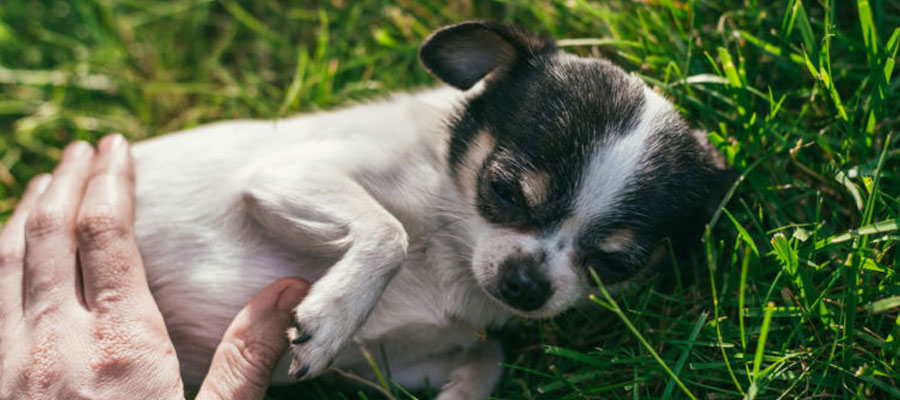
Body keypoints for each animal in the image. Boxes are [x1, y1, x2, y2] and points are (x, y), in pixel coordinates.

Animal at [134, 21, 732, 396]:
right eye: (504, 191)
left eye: (613, 265)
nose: (526, 284)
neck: (451, 249)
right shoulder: (287, 173)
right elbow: (389, 231)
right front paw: (333, 317)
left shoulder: (391, 363)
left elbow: (491, 354)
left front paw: (462, 392)